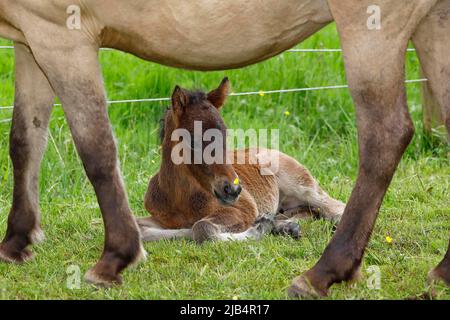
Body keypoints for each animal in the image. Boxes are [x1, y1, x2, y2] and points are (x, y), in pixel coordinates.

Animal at [138, 79, 344, 242]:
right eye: (193, 141)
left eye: (226, 135)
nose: (233, 189)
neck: (181, 200)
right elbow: (143, 230)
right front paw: (267, 225)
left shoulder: (242, 209)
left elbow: (202, 228)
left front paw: (258, 229)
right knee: (310, 212)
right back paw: (285, 226)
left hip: (303, 185)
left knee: (333, 207)